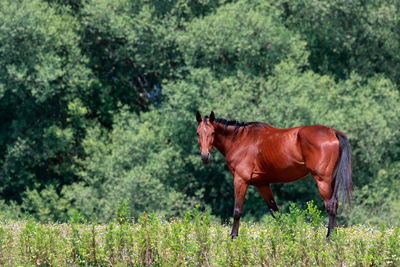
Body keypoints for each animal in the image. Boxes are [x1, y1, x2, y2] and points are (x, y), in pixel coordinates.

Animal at [195, 111, 352, 241]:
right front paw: (287, 236)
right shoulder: (262, 184)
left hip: (322, 180)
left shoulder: (240, 180)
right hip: (331, 181)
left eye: (213, 132)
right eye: (197, 133)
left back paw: (329, 239)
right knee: (334, 204)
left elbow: (237, 210)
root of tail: (332, 132)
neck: (239, 141)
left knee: (330, 205)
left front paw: (233, 237)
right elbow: (275, 211)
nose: (205, 156)